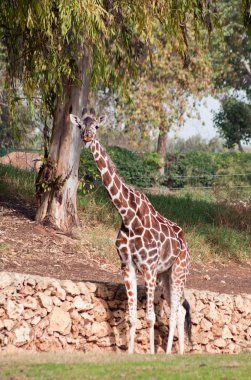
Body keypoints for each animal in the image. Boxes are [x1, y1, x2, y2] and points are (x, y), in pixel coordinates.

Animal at [70, 108, 192, 354]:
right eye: (80, 126)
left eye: (96, 126)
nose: (87, 137)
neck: (128, 215)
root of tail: (186, 243)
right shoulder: (127, 265)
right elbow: (132, 316)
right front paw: (130, 353)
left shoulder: (149, 267)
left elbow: (151, 317)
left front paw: (151, 353)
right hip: (165, 275)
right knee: (180, 309)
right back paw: (175, 353)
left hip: (179, 271)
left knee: (176, 311)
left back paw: (170, 353)